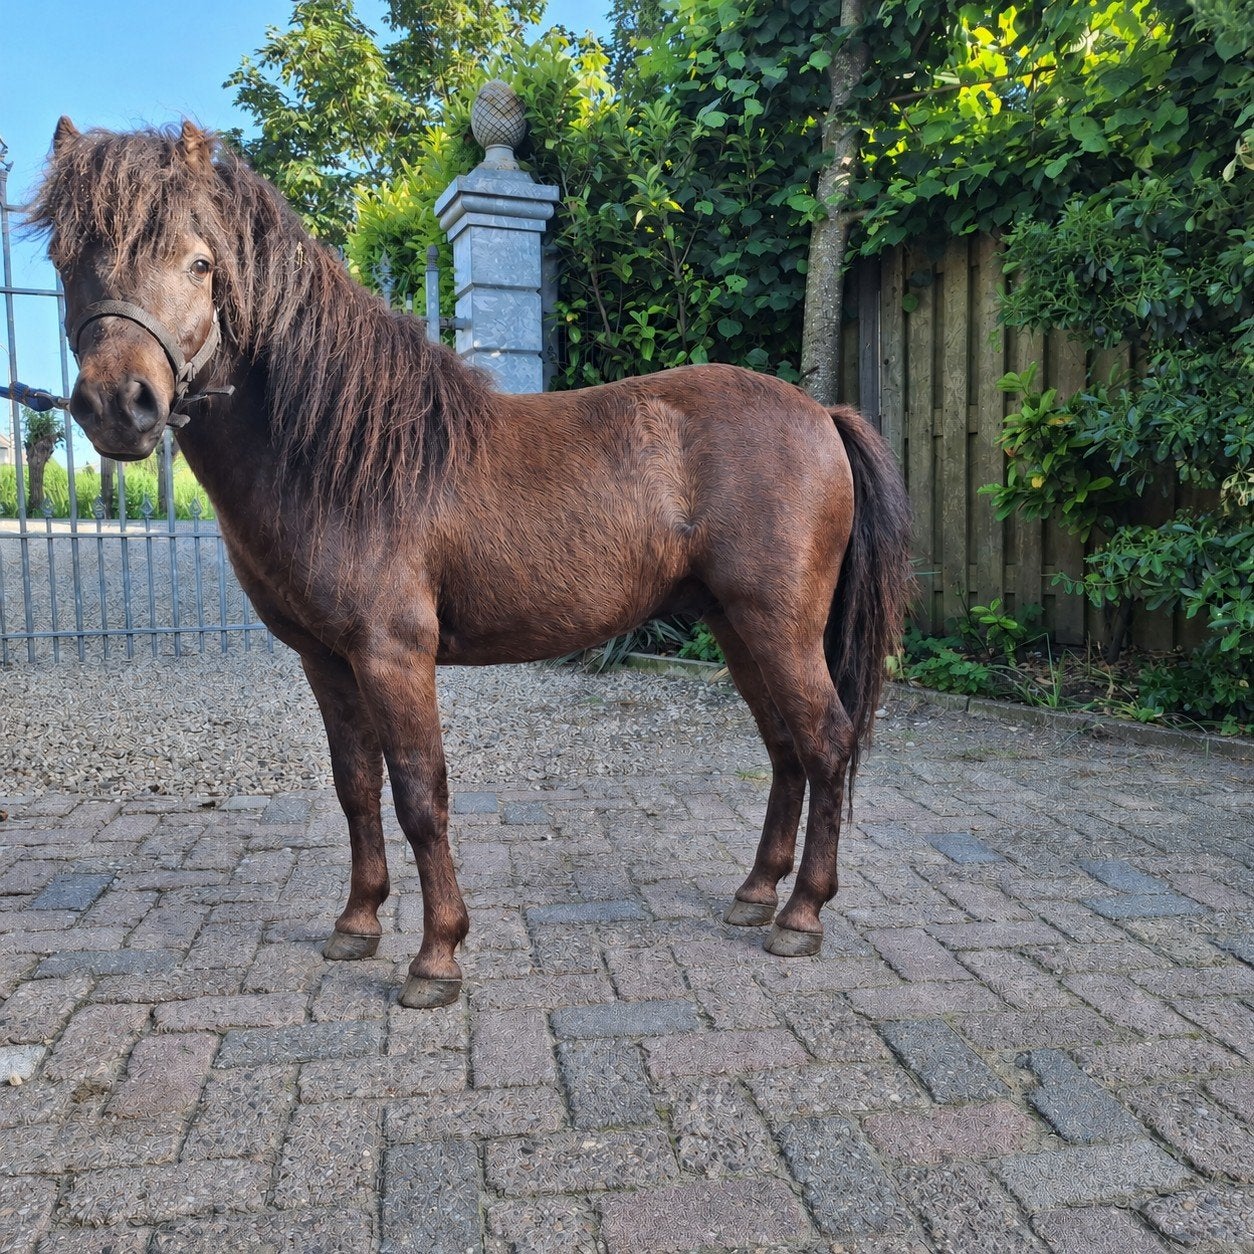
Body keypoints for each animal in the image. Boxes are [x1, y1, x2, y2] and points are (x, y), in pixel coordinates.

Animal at [31, 119, 912, 1008]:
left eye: (200, 263)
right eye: (67, 259)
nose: (119, 405)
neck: (340, 455)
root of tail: (822, 415)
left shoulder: (394, 655)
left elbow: (421, 796)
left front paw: (436, 958)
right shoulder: (326, 660)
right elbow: (356, 788)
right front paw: (358, 924)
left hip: (779, 627)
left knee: (826, 741)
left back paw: (801, 915)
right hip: (737, 629)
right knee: (785, 749)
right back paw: (756, 893)